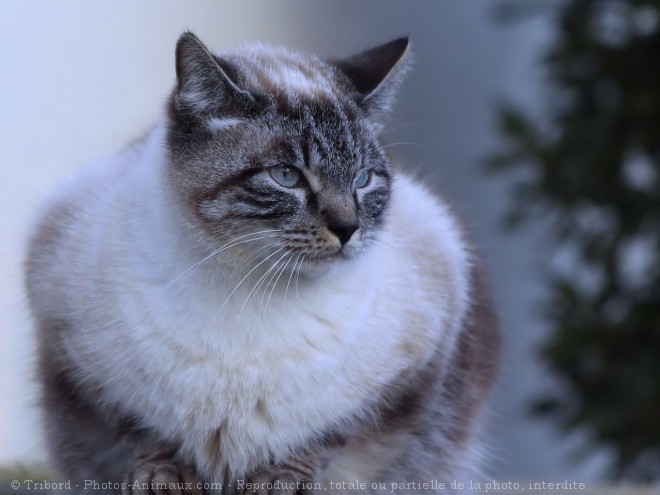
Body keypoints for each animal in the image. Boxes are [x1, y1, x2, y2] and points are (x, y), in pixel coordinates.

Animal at [25, 33, 500, 494]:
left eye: (363, 180)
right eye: (287, 177)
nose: (348, 228)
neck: (251, 286)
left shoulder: (411, 369)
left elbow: (327, 436)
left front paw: (279, 482)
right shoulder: (82, 364)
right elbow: (142, 432)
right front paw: (164, 480)